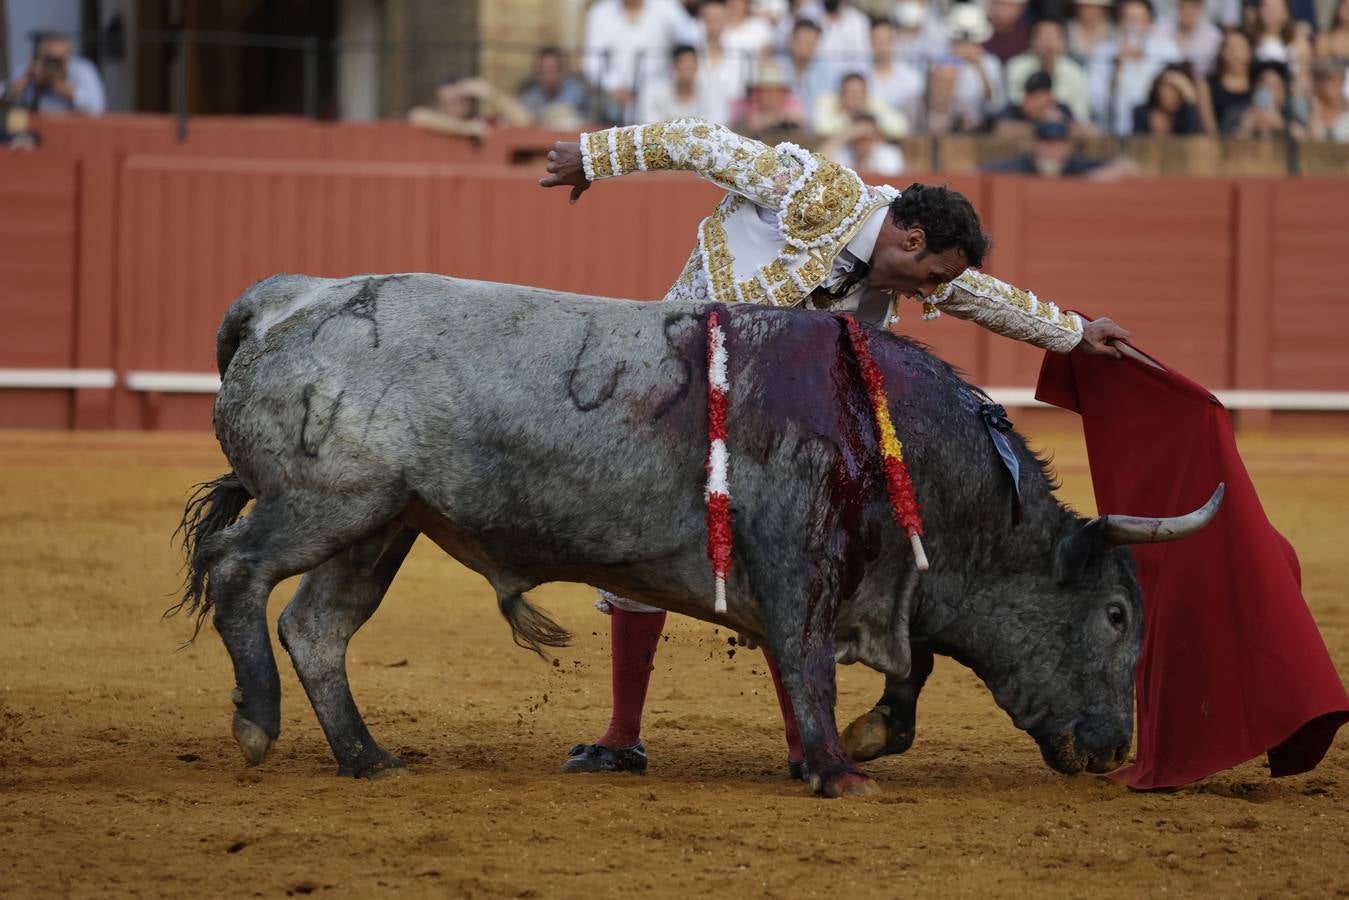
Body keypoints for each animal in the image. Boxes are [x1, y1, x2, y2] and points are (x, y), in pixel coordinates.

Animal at [174, 272, 1219, 793]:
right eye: (1118, 615)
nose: (1113, 750)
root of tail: (285, 300)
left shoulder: (873, 582)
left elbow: (899, 662)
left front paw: (857, 738)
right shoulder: (797, 563)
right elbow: (807, 661)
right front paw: (838, 769)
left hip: (381, 525)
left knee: (318, 625)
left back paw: (365, 757)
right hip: (328, 503)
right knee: (236, 571)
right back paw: (256, 723)